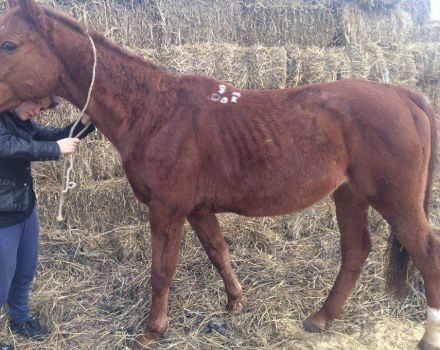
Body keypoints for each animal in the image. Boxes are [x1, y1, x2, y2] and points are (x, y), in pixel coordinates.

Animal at [0, 1, 440, 348]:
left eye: (9, 44)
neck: (155, 112)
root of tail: (404, 94)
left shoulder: (168, 209)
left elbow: (162, 272)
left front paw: (152, 331)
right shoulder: (197, 209)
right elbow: (219, 252)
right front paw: (235, 302)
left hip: (396, 201)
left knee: (425, 251)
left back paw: (427, 334)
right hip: (349, 195)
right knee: (355, 251)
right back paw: (322, 317)